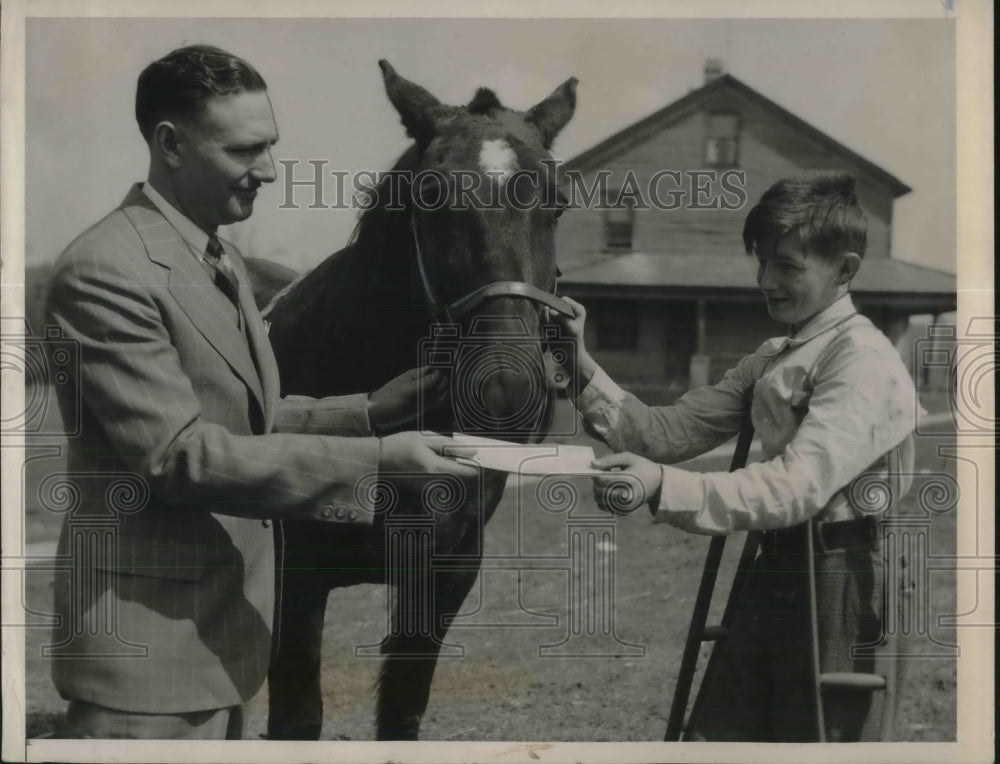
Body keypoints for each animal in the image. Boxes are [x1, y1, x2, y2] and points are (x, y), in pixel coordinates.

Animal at [258, 61, 580, 740]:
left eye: (557, 202)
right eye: (429, 195)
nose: (506, 388)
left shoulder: (442, 575)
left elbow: (403, 712)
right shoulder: (296, 578)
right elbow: (297, 715)